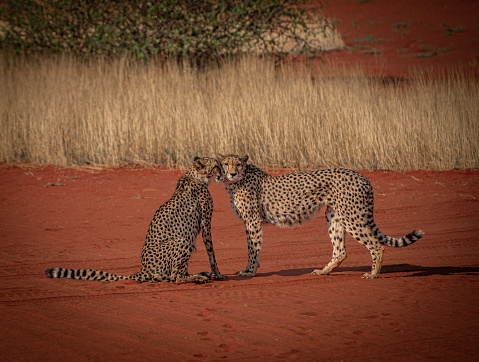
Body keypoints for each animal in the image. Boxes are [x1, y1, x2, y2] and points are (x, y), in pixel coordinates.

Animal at [46, 157, 226, 284]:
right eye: (216, 166)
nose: (223, 174)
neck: (196, 176)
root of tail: (143, 270)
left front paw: (214, 273)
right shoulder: (205, 222)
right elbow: (211, 251)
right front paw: (218, 274)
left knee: (177, 273)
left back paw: (199, 274)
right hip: (181, 241)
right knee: (175, 277)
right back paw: (197, 277)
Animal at [217, 154, 424, 278]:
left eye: (238, 164)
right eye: (225, 164)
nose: (232, 173)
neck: (237, 181)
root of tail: (362, 177)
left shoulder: (252, 220)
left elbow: (253, 248)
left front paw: (250, 271)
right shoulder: (250, 222)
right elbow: (253, 246)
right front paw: (249, 269)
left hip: (352, 218)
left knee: (376, 245)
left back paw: (373, 274)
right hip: (334, 216)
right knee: (340, 250)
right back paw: (323, 271)